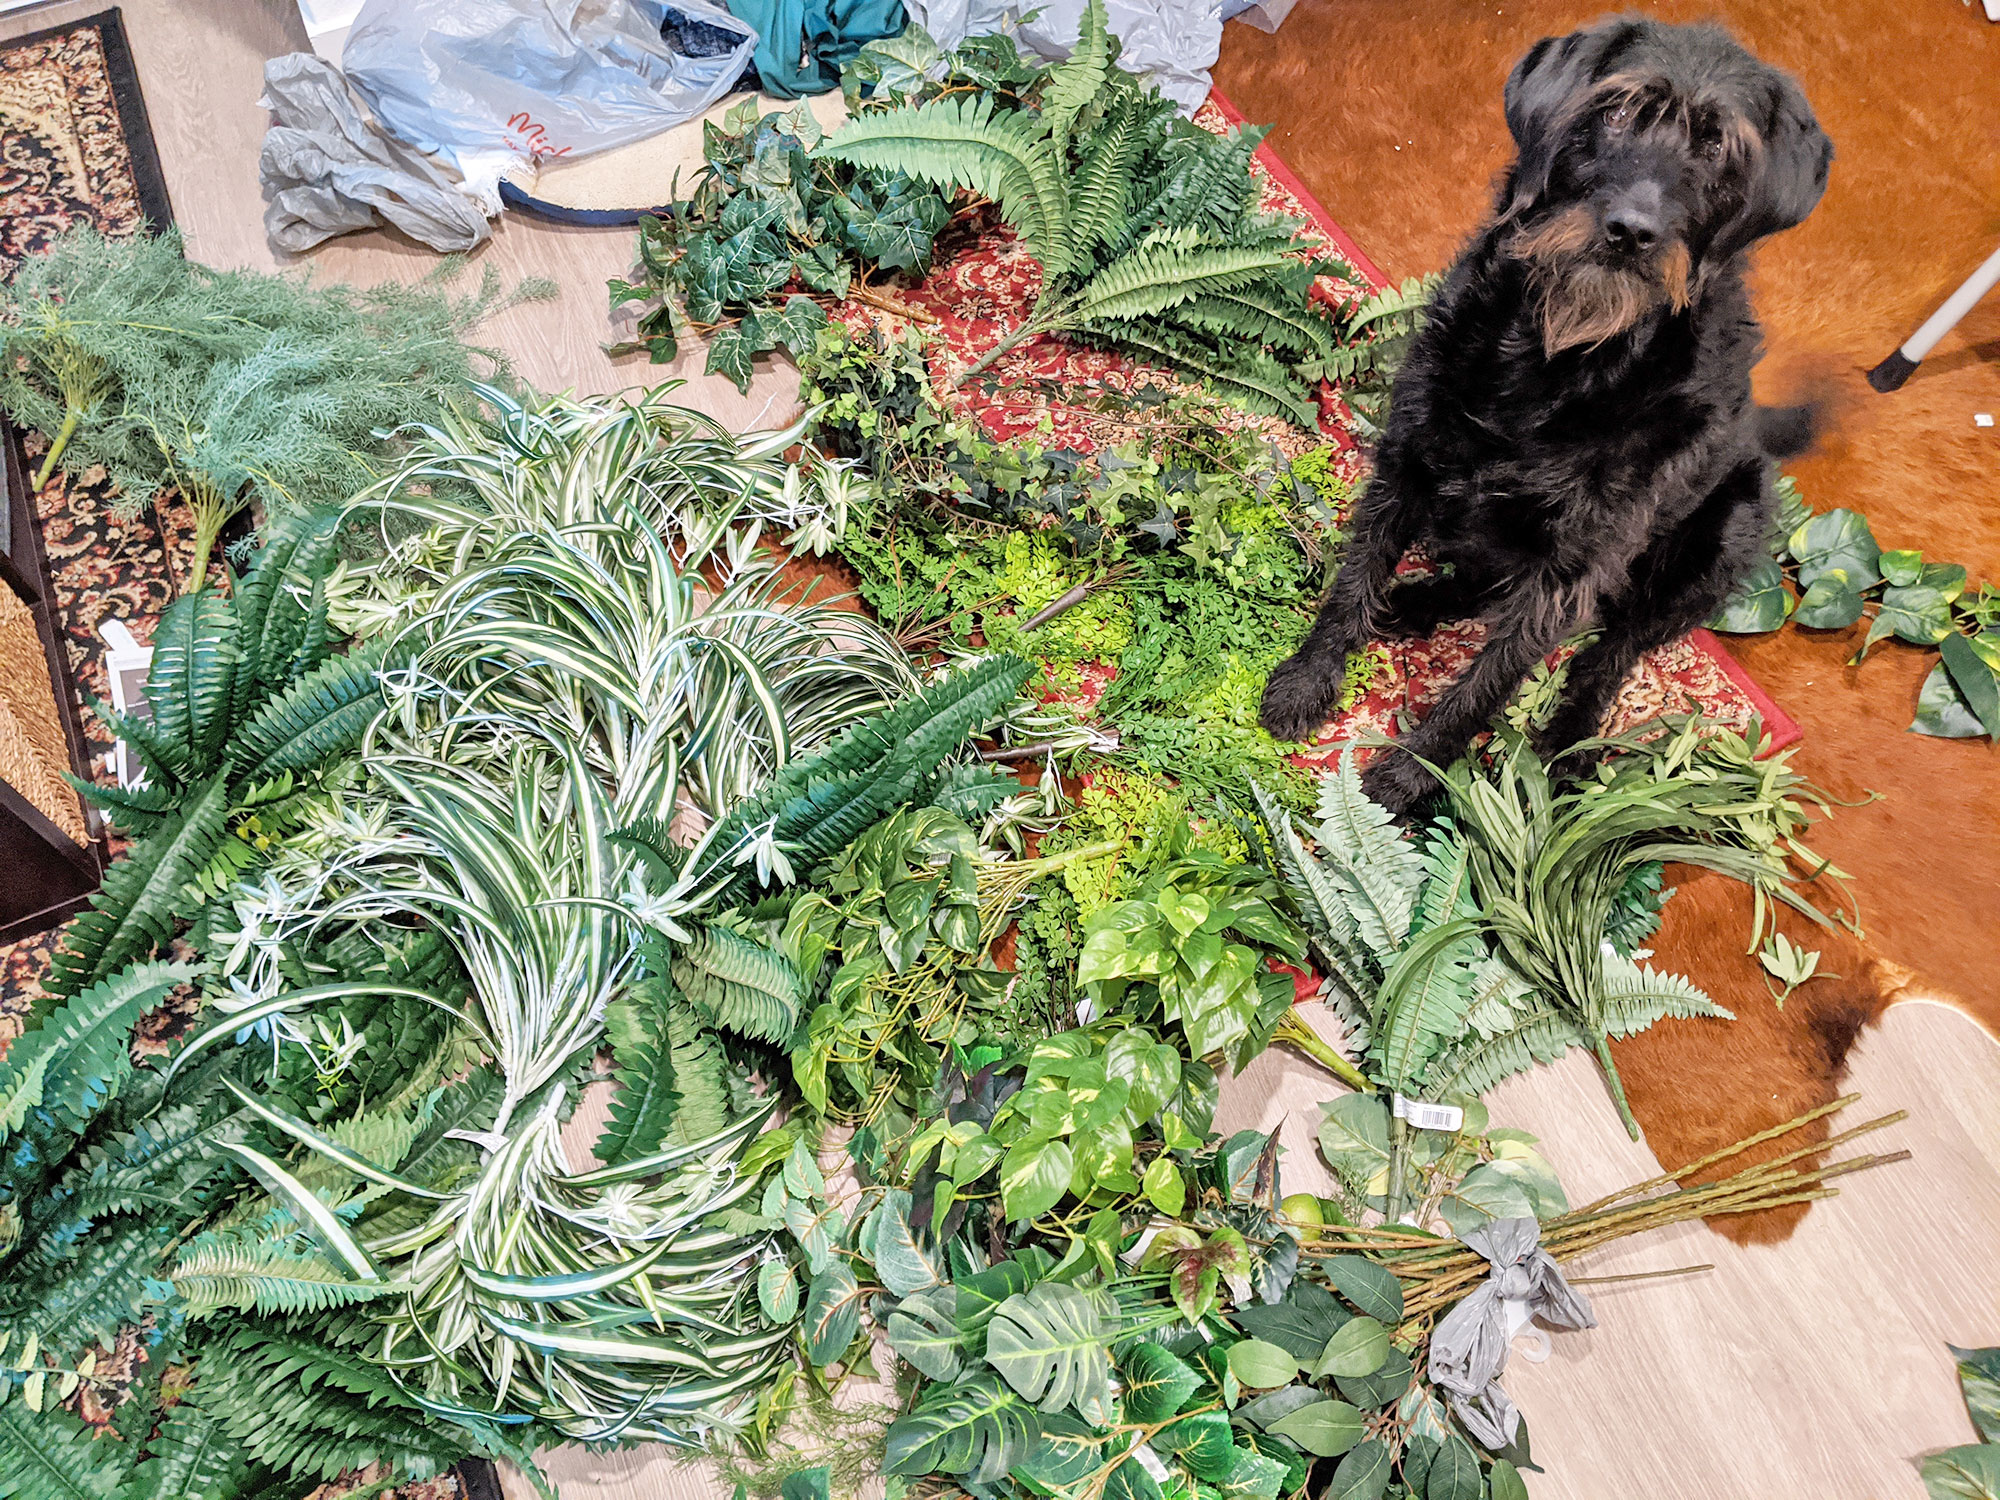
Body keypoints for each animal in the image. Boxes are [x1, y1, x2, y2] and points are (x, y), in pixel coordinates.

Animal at [1264, 14, 1832, 812]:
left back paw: (1569, 744)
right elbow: (1355, 578)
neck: (1557, 360)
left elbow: (1490, 681)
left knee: (1611, 652)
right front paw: (1310, 681)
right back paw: (1415, 604)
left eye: (1718, 146)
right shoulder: (1408, 458)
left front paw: (1408, 780)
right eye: (1616, 110)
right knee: (1483, 578)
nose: (1631, 231)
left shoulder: (1574, 566)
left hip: (1719, 537)